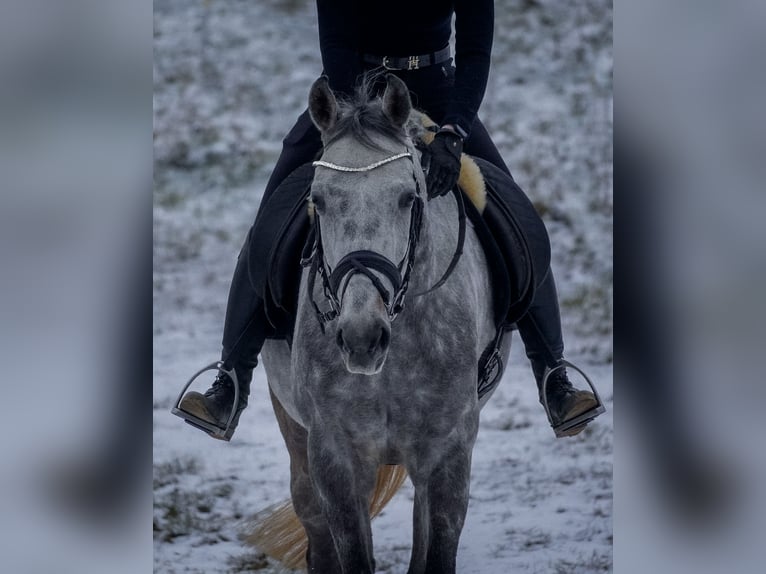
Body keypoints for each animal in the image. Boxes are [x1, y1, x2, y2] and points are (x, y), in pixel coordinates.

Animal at [252, 74, 512, 572]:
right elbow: (352, 556)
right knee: (315, 531)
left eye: (408, 198)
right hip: (295, 434)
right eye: (318, 201)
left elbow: (435, 553)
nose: (361, 339)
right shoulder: (335, 456)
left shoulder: (448, 454)